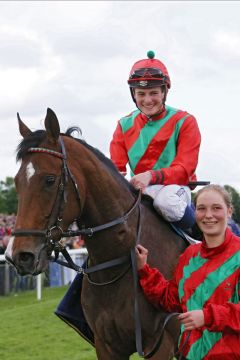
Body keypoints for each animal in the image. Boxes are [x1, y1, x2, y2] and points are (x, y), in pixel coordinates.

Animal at [5, 108, 188, 358]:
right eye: (16, 181)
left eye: (50, 180)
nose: (18, 256)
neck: (119, 260)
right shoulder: (106, 344)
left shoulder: (162, 344)